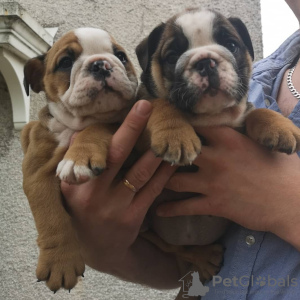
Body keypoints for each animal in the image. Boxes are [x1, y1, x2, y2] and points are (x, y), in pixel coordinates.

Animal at [21, 27, 138, 290]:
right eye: (66, 62)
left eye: (120, 56)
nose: (101, 64)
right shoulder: (37, 174)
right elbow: (51, 217)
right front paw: (59, 262)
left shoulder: (113, 121)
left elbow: (96, 128)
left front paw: (78, 158)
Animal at [137, 6, 300, 286]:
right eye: (172, 56)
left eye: (231, 45)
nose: (205, 62)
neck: (211, 118)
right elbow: (162, 103)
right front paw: (175, 134)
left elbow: (254, 111)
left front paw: (278, 125)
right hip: (144, 226)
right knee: (174, 247)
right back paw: (203, 257)